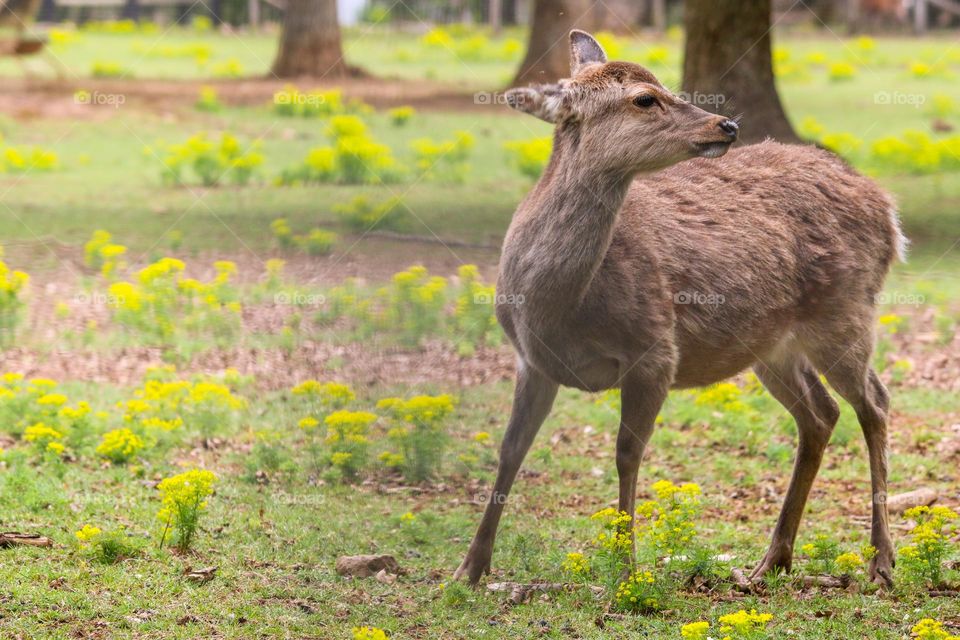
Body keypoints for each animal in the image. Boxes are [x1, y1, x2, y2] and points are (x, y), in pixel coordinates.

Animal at [454, 30, 904, 592]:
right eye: (645, 99)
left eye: (663, 85)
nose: (726, 124)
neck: (558, 306)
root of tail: (888, 208)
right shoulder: (531, 359)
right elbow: (511, 448)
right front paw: (469, 569)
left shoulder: (655, 350)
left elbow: (627, 453)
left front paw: (626, 572)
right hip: (771, 346)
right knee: (821, 414)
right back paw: (772, 560)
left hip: (847, 311)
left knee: (875, 403)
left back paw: (881, 561)